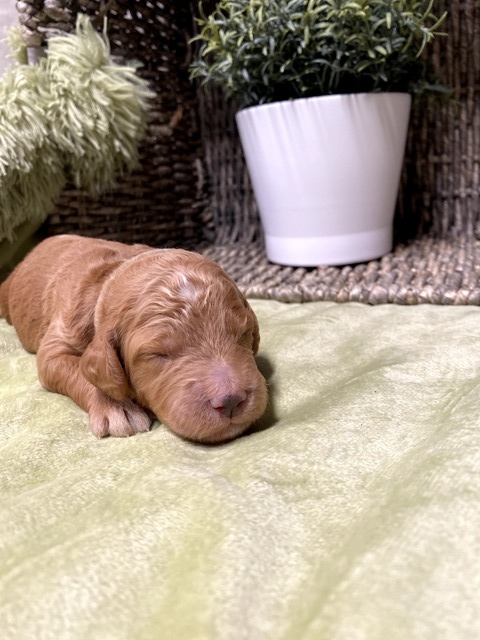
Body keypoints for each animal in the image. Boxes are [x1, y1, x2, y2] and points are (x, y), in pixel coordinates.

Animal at [0, 235, 268, 444]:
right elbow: (78, 369)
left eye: (243, 334)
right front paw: (118, 407)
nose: (231, 400)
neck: (110, 275)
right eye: (158, 354)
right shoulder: (58, 343)